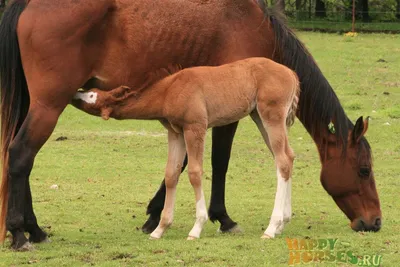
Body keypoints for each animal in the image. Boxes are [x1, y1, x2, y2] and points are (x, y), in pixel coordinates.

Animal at [71, 58, 300, 241]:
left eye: (91, 96)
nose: (74, 94)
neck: (169, 90)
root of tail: (292, 73)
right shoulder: (176, 133)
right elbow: (171, 174)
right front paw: (160, 229)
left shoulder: (195, 128)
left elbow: (194, 173)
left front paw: (196, 228)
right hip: (259, 117)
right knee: (287, 157)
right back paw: (283, 222)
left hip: (271, 116)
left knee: (282, 161)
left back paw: (271, 228)